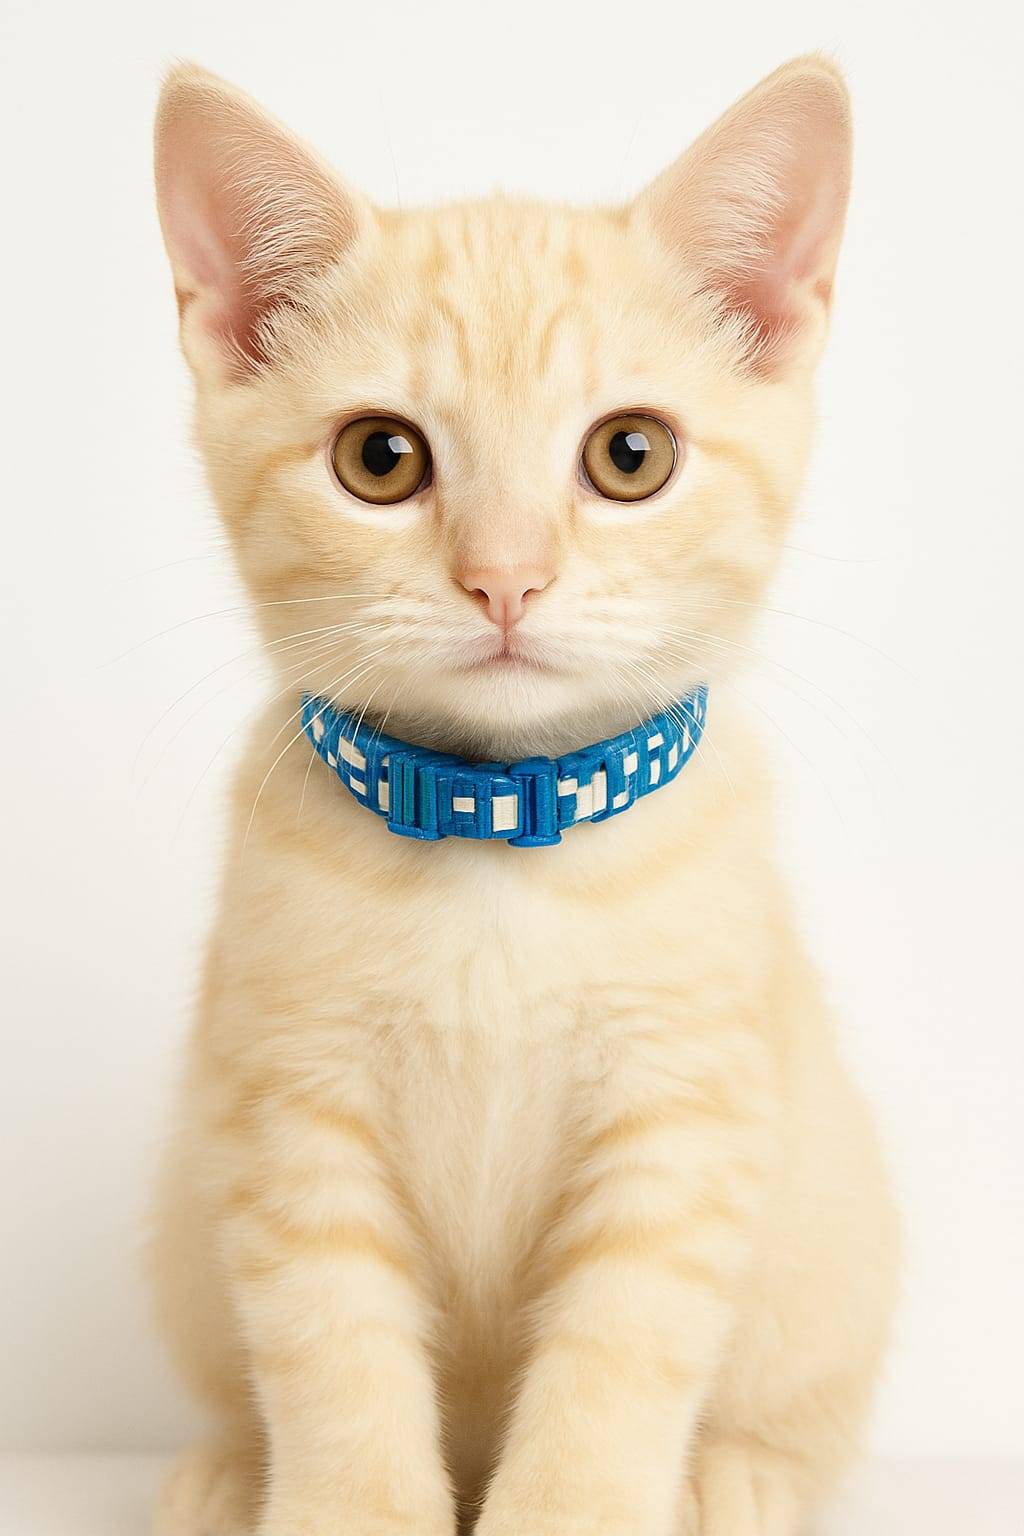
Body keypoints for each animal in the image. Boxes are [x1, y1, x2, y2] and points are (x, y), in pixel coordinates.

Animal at [150, 55, 897, 1536]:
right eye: (380, 459)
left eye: (631, 456)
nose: (505, 579)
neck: (495, 834)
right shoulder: (288, 1114)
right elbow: (330, 1352)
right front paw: (343, 1508)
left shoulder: (687, 1122)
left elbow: (618, 1363)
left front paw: (580, 1506)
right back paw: (224, 1473)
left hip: (835, 1250)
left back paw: (739, 1477)